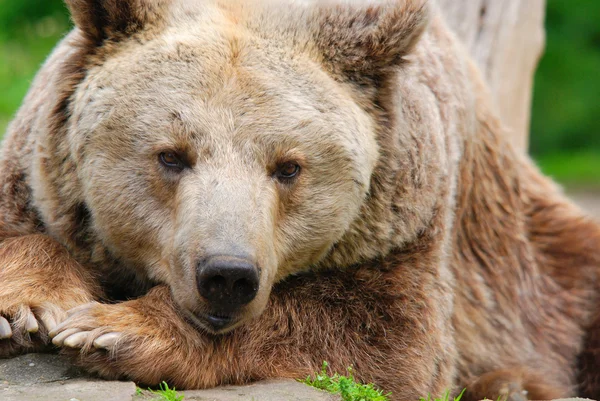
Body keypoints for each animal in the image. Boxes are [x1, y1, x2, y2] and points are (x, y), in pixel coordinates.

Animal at [0, 0, 596, 398]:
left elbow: (381, 339)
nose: (227, 275)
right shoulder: (38, 173)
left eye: (288, 167)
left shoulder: (408, 224)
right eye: (172, 155)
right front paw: (29, 309)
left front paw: (109, 330)